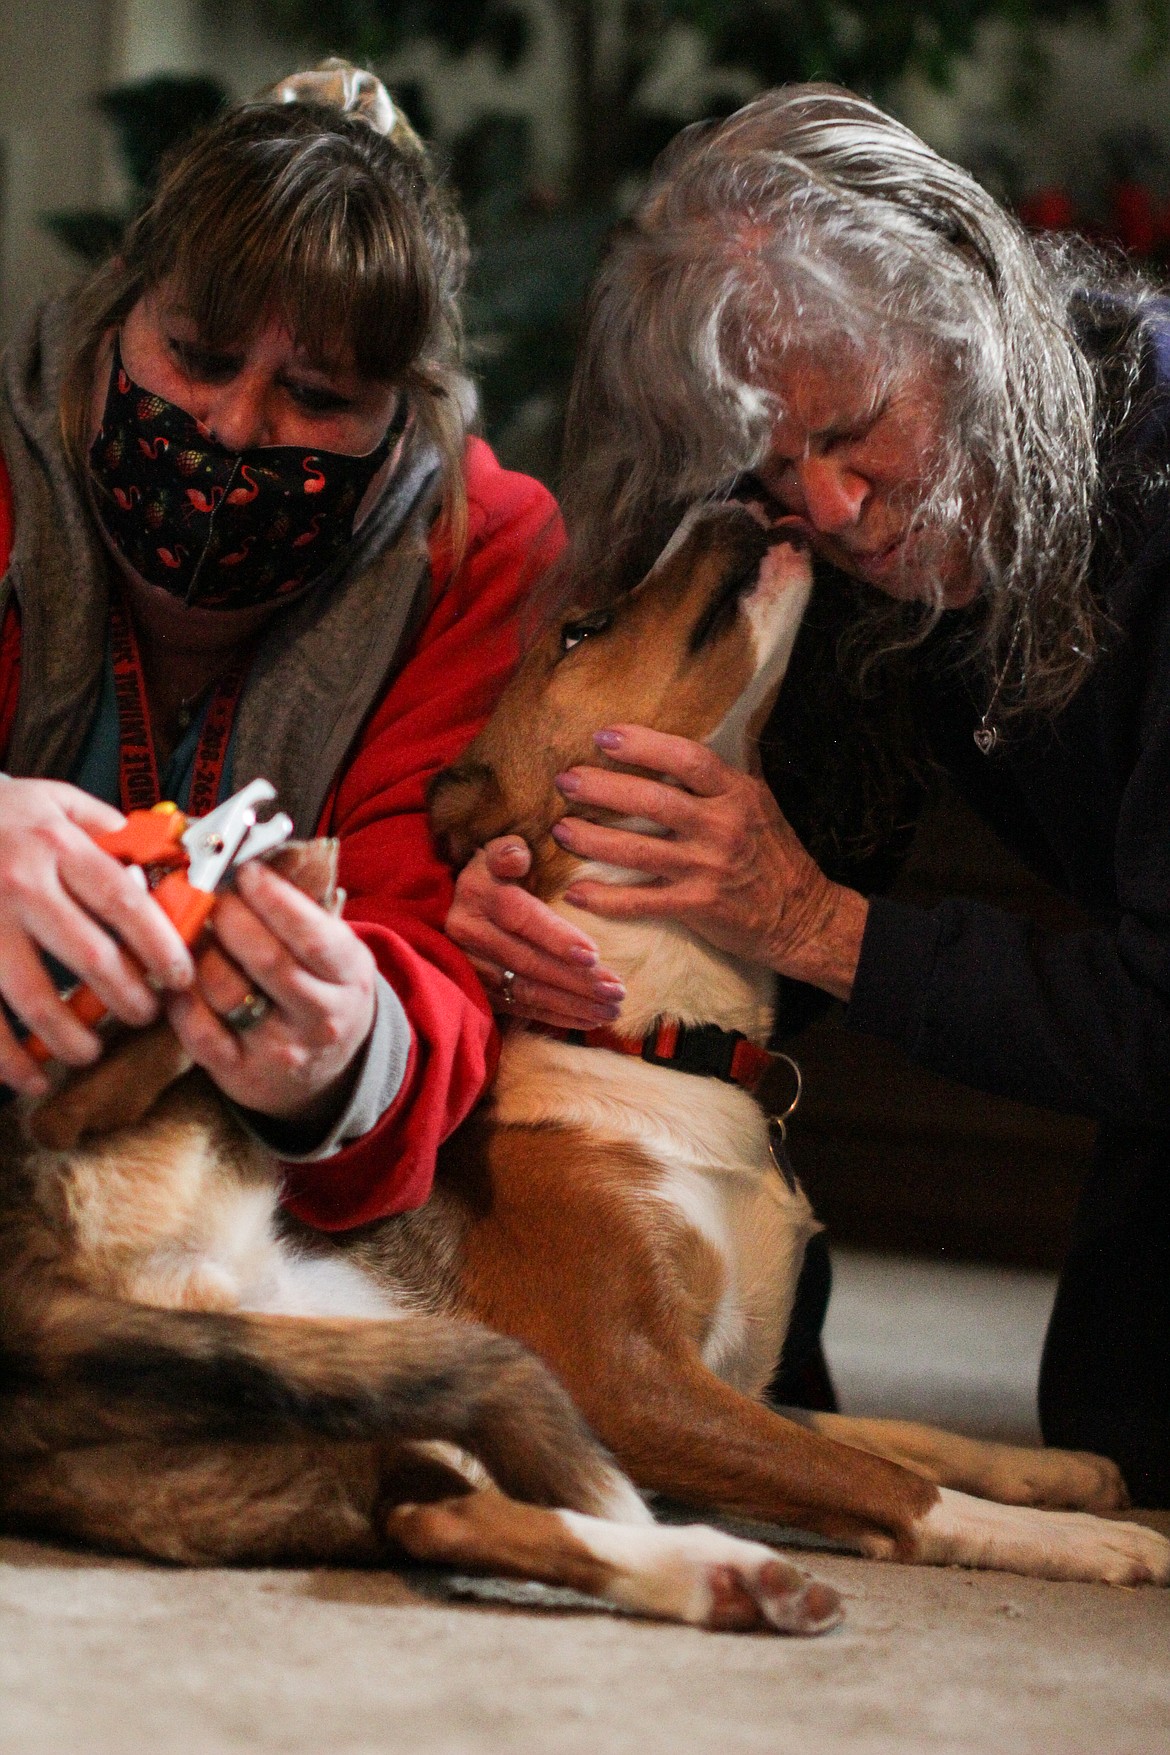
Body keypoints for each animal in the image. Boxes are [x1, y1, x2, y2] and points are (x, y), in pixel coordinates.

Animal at [4, 505, 1164, 1614]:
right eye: (581, 629)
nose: (739, 497)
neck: (664, 1043)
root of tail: (41, 1329)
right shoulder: (629, 1381)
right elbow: (898, 1484)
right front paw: (1086, 1539)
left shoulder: (728, 1382)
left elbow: (889, 1433)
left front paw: (1063, 1473)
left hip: (390, 1404)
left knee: (453, 1518)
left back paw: (732, 1577)